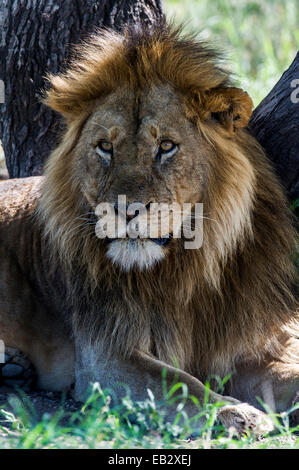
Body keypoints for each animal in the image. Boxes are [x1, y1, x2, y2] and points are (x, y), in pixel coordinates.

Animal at [0, 23, 299, 436]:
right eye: (105, 147)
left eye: (167, 147)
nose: (125, 210)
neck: (186, 270)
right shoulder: (108, 356)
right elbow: (182, 384)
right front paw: (235, 412)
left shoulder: (246, 342)